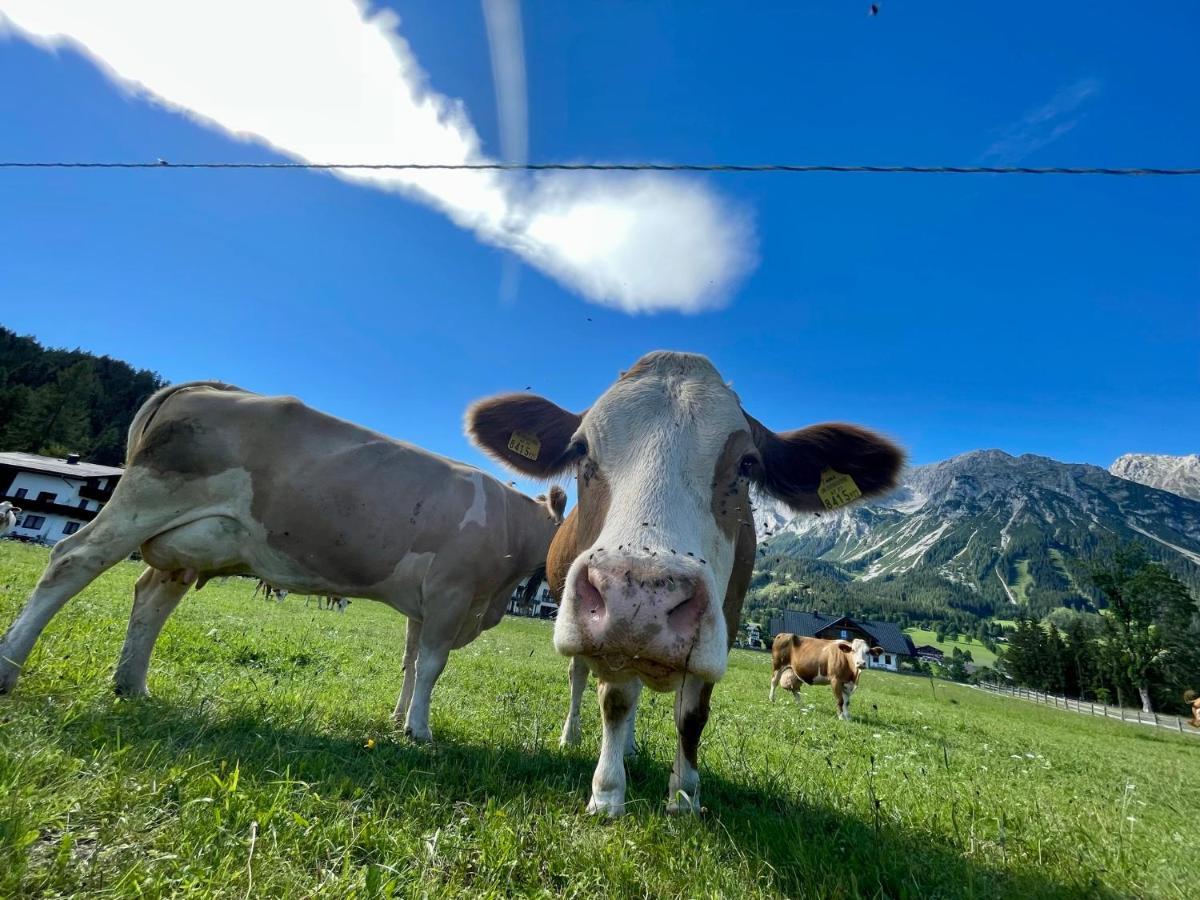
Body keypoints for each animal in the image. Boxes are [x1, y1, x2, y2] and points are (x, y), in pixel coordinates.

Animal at [0, 384, 568, 744]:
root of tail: (207, 388)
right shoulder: (452, 591)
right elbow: (432, 664)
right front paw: (420, 731)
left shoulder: (424, 604)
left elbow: (410, 663)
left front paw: (398, 717)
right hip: (146, 500)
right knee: (72, 560)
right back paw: (9, 668)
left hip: (191, 535)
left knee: (154, 595)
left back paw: (132, 686)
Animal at [465, 352, 902, 816]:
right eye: (580, 448)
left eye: (747, 464)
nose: (640, 601)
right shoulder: (609, 641)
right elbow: (615, 701)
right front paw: (607, 793)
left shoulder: (723, 626)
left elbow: (691, 716)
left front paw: (685, 795)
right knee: (580, 677)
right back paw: (573, 735)